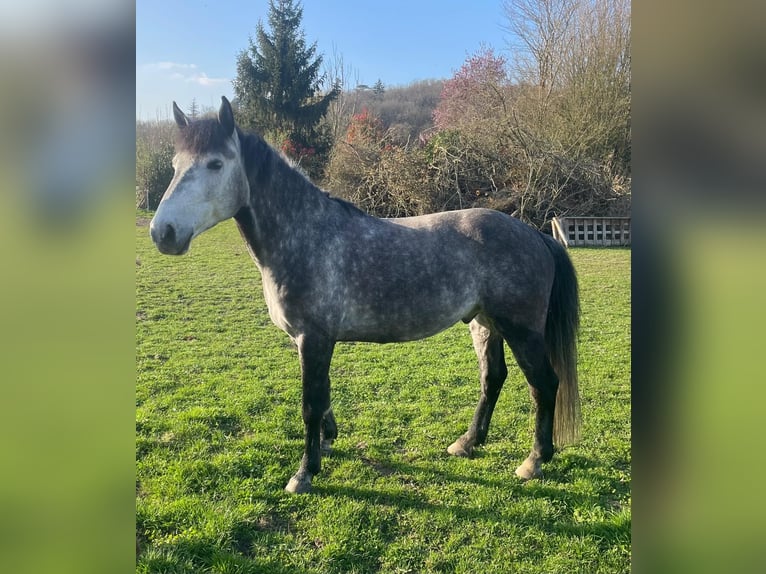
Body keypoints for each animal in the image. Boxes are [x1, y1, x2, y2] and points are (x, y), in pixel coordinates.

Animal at [150, 96, 581, 494]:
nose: (162, 233)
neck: (306, 236)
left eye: (215, 164)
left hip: (520, 329)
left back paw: (534, 460)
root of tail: (534, 235)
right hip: (483, 322)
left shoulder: (314, 338)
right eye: (174, 164)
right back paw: (467, 443)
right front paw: (327, 442)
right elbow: (322, 397)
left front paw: (304, 473)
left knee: (544, 384)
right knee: (493, 378)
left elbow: (310, 404)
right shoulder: (309, 341)